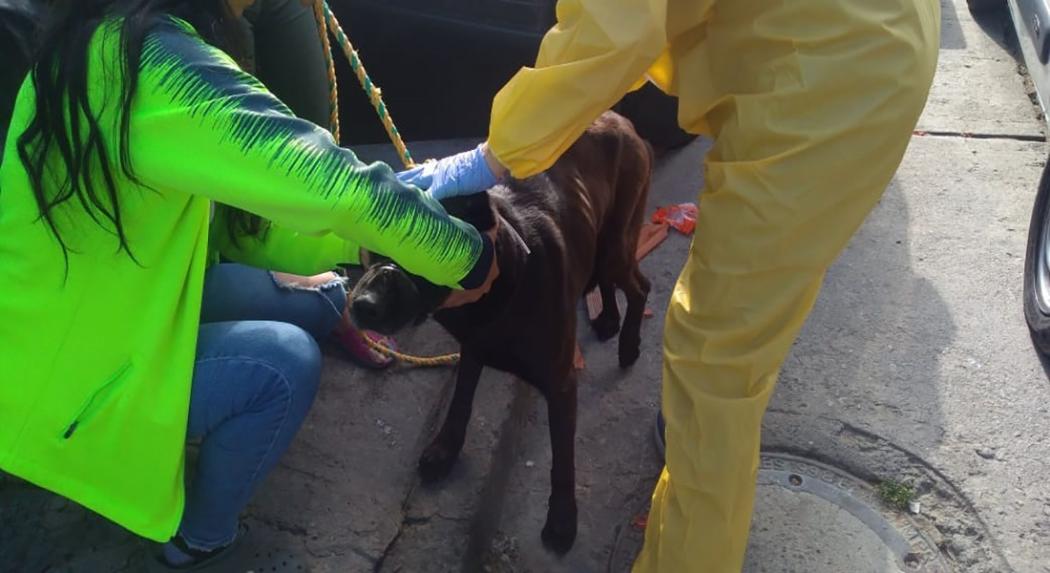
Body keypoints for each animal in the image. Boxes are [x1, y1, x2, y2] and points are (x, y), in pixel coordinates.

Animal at [350, 109, 646, 549]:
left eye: (421, 243)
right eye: (368, 243)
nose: (361, 306)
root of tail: (617, 116)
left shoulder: (561, 383)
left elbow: (563, 460)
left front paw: (562, 519)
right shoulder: (472, 348)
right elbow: (460, 403)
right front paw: (445, 449)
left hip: (615, 245)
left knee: (641, 287)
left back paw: (629, 344)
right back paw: (609, 318)